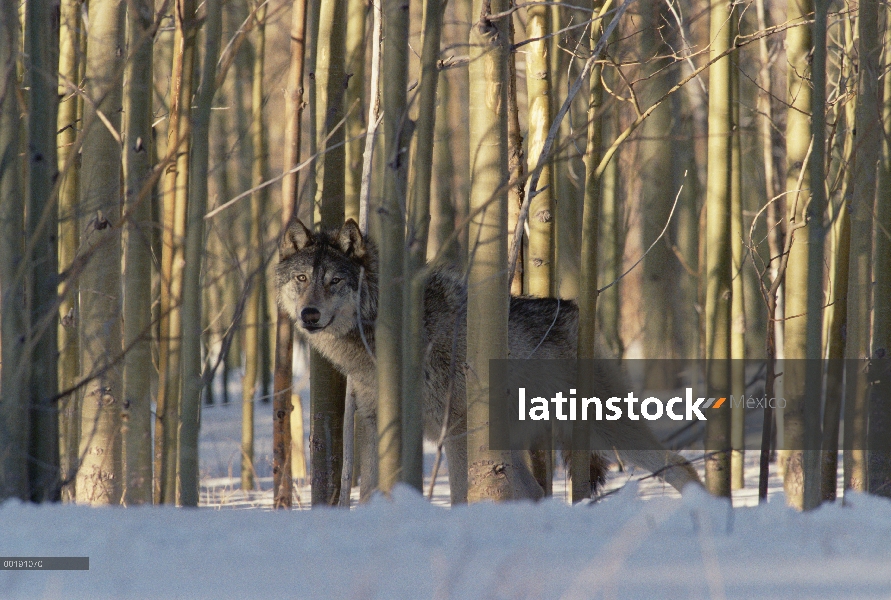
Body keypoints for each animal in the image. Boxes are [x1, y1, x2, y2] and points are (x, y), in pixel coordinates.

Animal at [278, 218, 704, 504]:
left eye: (334, 281)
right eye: (302, 278)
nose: (309, 314)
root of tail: (573, 312)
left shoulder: (456, 429)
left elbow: (460, 494)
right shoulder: (375, 423)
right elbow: (368, 490)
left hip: (606, 428)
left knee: (678, 463)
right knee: (536, 492)